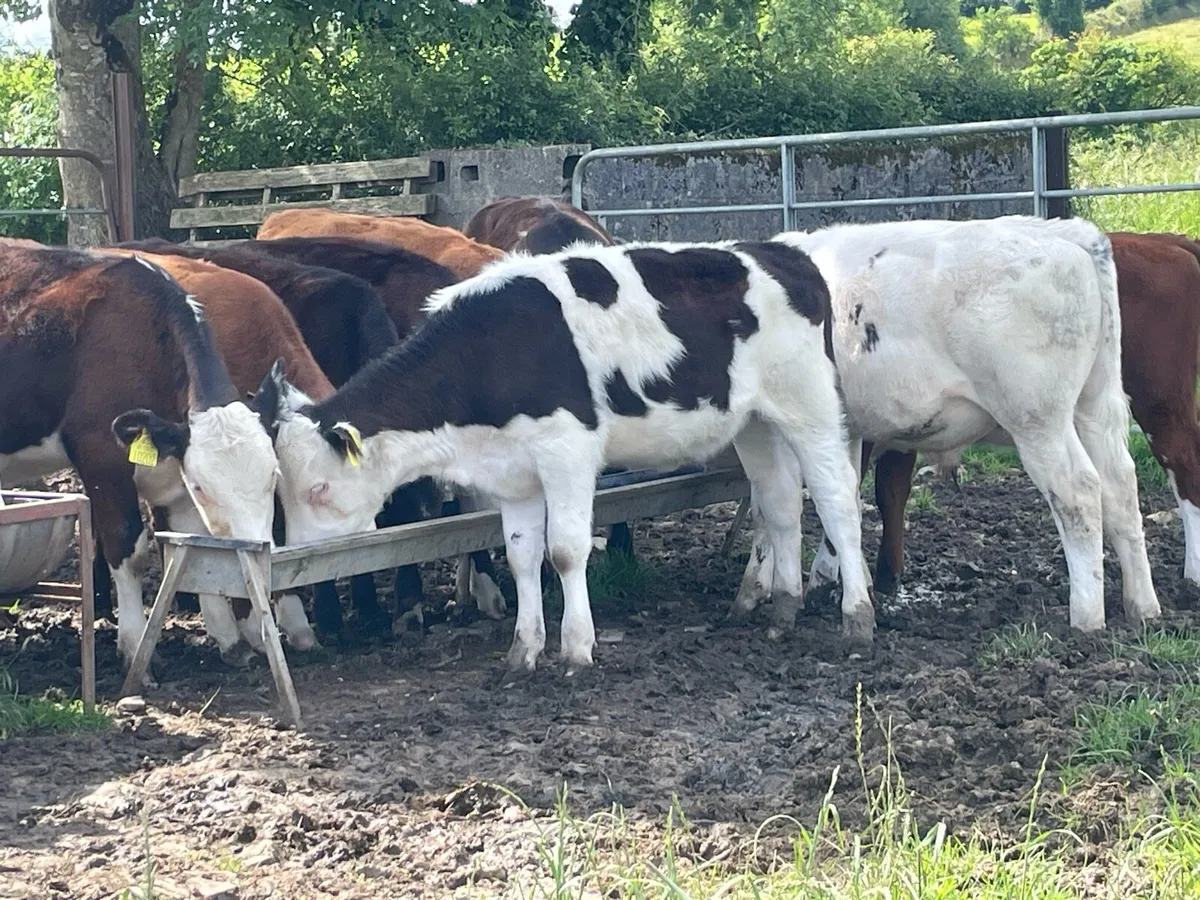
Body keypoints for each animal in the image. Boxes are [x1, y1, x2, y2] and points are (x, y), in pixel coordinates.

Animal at [0, 241, 282, 671]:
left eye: (273, 477)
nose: (259, 560)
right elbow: (127, 550)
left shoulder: (174, 473)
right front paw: (135, 649)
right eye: (204, 488)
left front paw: (230, 640)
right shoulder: (102, 458)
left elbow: (195, 550)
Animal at [250, 240, 874, 672]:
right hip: (757, 424)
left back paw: (857, 618)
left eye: (318, 490)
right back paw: (781, 610)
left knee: (837, 501)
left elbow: (568, 552)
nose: (290, 569)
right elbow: (522, 558)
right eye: (280, 491)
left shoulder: (567, 451)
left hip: (811, 407)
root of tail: (784, 253)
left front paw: (576, 649)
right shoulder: (513, 472)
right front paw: (524, 651)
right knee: (780, 505)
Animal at [732, 216, 1161, 637]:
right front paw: (831, 581)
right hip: (1093, 406)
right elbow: (842, 499)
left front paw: (755, 588)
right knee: (1121, 488)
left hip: (1038, 419)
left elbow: (768, 506)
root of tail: (1065, 232)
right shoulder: (845, 430)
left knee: (1079, 493)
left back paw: (1086, 618)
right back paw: (1142, 607)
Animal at [852, 230, 1200, 598]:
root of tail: (1164, 241)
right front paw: (883, 575)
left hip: (1159, 403)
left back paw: (1192, 574)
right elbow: (889, 492)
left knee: (1183, 465)